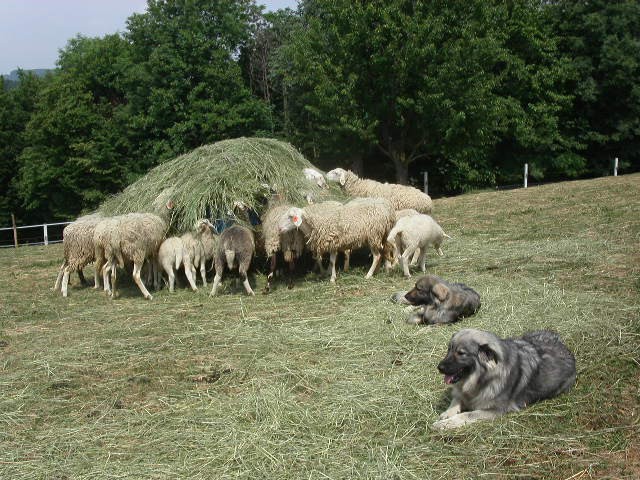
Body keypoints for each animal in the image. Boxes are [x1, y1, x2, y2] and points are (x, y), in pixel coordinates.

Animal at [432, 328, 576, 430]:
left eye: (461, 353)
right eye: (449, 350)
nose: (439, 367)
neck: (480, 379)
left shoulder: (496, 410)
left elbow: (467, 414)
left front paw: (446, 423)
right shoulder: (463, 393)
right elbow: (457, 399)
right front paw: (447, 413)